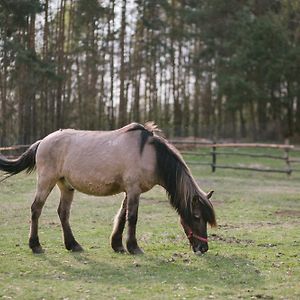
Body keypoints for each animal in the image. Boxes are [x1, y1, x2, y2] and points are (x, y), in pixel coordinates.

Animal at [0, 122, 216, 255]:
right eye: (197, 217)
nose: (203, 248)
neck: (150, 155)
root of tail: (42, 141)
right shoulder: (134, 189)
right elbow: (132, 217)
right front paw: (133, 247)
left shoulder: (129, 191)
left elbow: (122, 216)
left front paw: (118, 245)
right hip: (46, 181)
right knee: (36, 209)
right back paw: (35, 245)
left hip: (66, 186)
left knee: (63, 213)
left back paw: (73, 245)